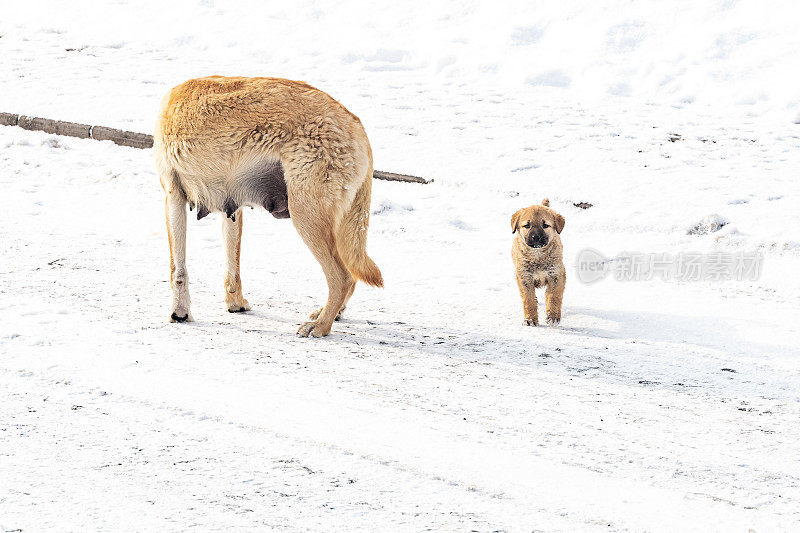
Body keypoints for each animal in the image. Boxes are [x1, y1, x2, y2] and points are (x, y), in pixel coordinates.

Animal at [155, 76, 384, 336]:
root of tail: (357, 125)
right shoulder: (231, 210)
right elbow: (232, 269)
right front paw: (235, 305)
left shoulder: (173, 197)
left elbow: (178, 270)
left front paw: (179, 313)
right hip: (334, 226)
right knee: (351, 276)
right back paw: (329, 314)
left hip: (306, 218)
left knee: (342, 277)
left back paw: (320, 326)